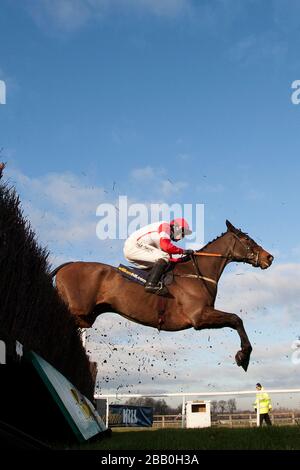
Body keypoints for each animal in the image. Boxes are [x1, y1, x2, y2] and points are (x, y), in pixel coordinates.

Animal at [52, 220, 274, 370]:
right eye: (247, 239)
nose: (269, 257)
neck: (197, 272)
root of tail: (66, 266)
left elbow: (235, 320)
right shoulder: (199, 317)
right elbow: (236, 319)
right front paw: (244, 356)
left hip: (86, 317)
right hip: (78, 311)